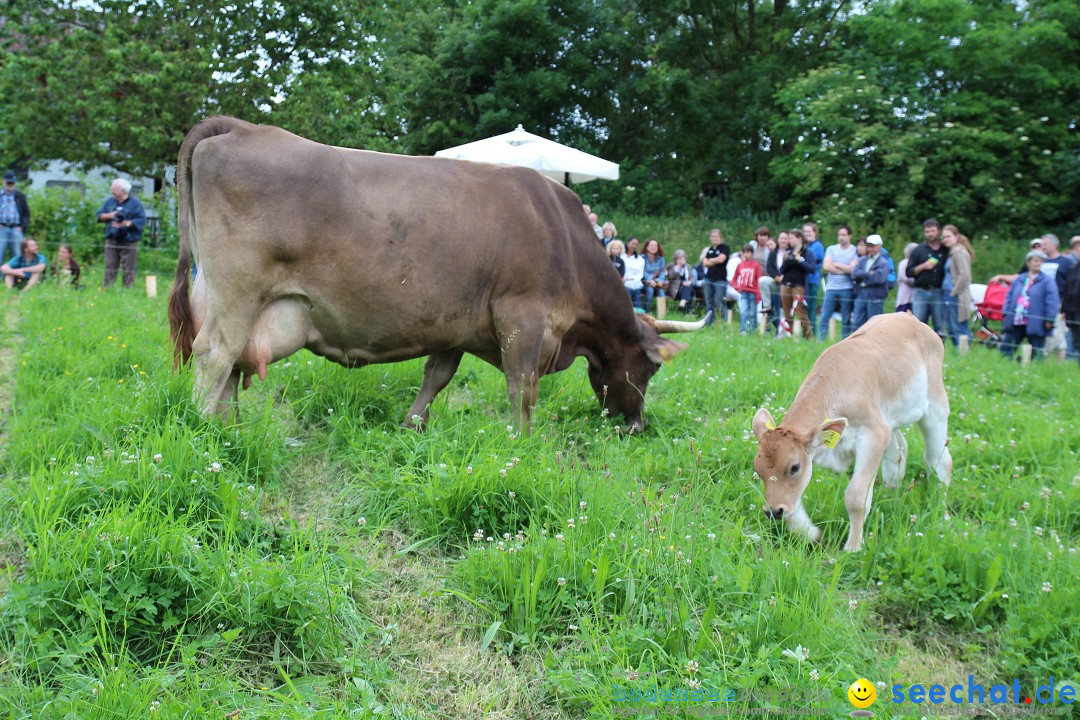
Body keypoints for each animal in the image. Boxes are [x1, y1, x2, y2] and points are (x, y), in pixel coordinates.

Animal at [166, 117, 708, 431]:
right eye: (652, 368)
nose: (636, 426)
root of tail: (241, 127)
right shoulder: (523, 315)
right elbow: (522, 387)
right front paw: (522, 440)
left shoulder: (457, 324)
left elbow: (437, 376)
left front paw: (412, 425)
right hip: (239, 290)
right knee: (215, 354)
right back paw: (204, 429)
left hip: (222, 294)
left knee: (230, 364)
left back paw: (228, 426)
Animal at [751, 310, 954, 552]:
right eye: (758, 469)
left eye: (794, 467)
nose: (773, 511)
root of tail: (908, 316)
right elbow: (793, 506)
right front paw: (812, 534)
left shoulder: (873, 435)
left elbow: (856, 497)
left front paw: (853, 548)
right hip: (890, 418)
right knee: (898, 451)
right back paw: (890, 496)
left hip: (934, 407)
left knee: (939, 460)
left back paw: (940, 509)